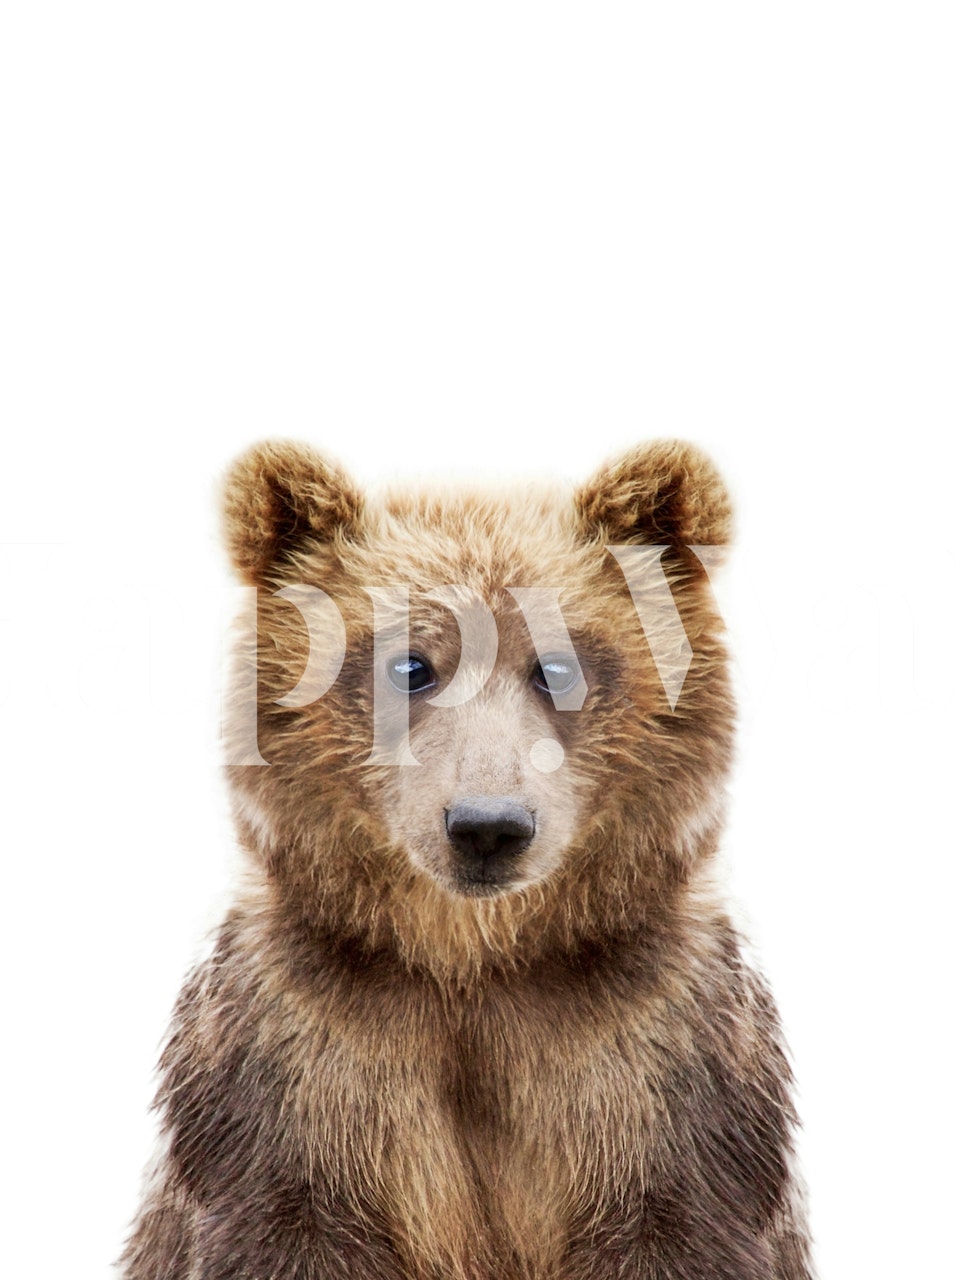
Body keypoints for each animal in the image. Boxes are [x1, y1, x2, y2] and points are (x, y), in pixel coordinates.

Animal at [120, 440, 814, 1280]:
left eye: (557, 666)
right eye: (410, 665)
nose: (488, 826)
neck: (474, 963)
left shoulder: (661, 1066)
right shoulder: (296, 1065)